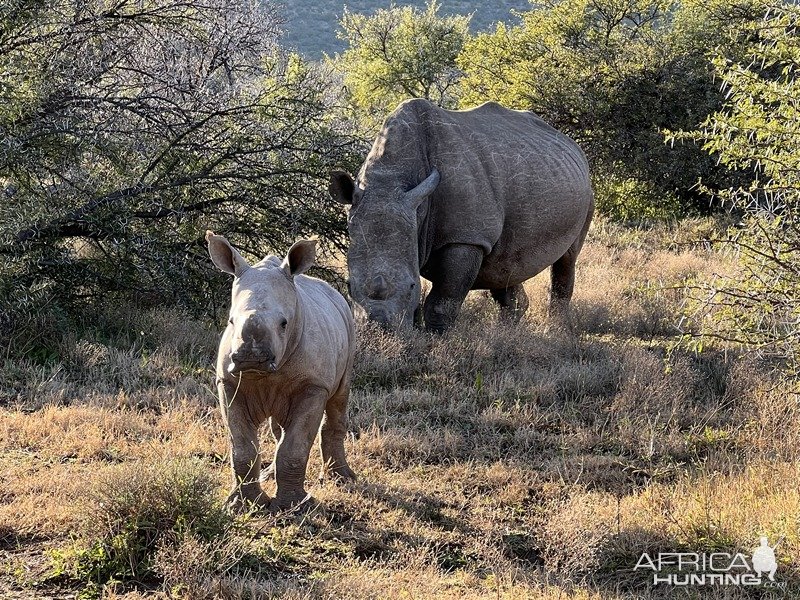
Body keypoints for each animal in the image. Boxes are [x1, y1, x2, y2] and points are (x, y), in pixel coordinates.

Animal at [206, 230, 356, 510]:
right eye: (230, 321)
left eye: (284, 323)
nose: (251, 359)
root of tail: (332, 292)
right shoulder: (228, 382)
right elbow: (242, 448)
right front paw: (242, 505)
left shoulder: (313, 386)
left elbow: (295, 448)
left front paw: (293, 506)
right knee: (279, 430)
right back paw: (270, 475)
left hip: (349, 328)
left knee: (340, 397)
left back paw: (343, 479)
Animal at [328, 98, 592, 332]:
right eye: (348, 286)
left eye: (413, 286)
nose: (379, 331)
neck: (390, 179)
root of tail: (573, 146)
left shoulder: (466, 238)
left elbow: (441, 304)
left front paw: (437, 342)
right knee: (505, 267)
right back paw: (506, 335)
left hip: (586, 191)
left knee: (567, 259)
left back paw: (555, 332)